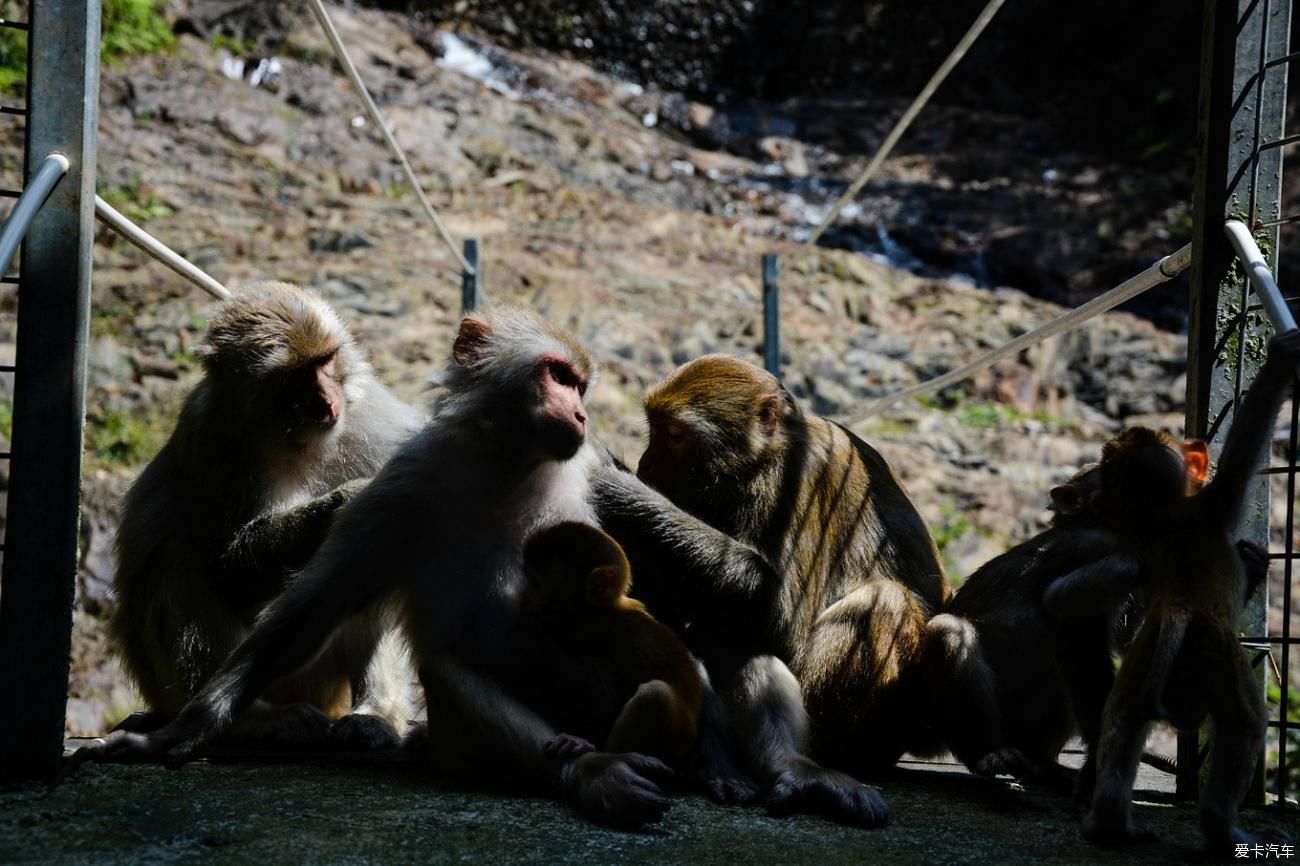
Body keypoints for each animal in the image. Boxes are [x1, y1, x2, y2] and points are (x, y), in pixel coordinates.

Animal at [108, 282, 421, 748]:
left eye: (326, 361)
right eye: (294, 376)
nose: (327, 402)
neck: (300, 441)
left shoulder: (374, 422)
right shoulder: (211, 439)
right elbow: (228, 566)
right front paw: (345, 499)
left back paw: (375, 715)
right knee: (178, 561)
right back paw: (249, 720)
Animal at [595, 353, 951, 826]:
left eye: (674, 435)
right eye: (654, 426)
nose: (647, 465)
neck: (758, 465)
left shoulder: (801, 480)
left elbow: (779, 618)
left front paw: (624, 489)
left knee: (881, 602)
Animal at [1055, 327, 1300, 847]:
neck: (1166, 516)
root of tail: (1181, 613)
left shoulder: (1134, 545)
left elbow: (1066, 601)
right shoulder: (1214, 507)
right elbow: (1246, 442)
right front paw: (1281, 360)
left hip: (1141, 668)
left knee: (1121, 725)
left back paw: (1107, 822)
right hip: (1221, 662)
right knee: (1244, 725)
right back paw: (1223, 828)